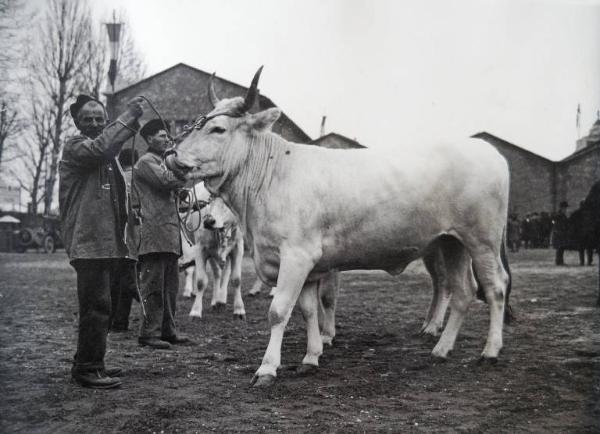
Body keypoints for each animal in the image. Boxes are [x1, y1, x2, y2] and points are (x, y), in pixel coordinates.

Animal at [169, 68, 510, 386]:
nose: (173, 157)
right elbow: (307, 309)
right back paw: (441, 349)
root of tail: (487, 150)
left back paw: (489, 352)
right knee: (463, 291)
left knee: (494, 288)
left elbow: (279, 310)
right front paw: (311, 356)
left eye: (218, 129)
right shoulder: (304, 264)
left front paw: (267, 368)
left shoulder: (297, 256)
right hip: (452, 242)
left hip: (482, 240)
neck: (273, 175)